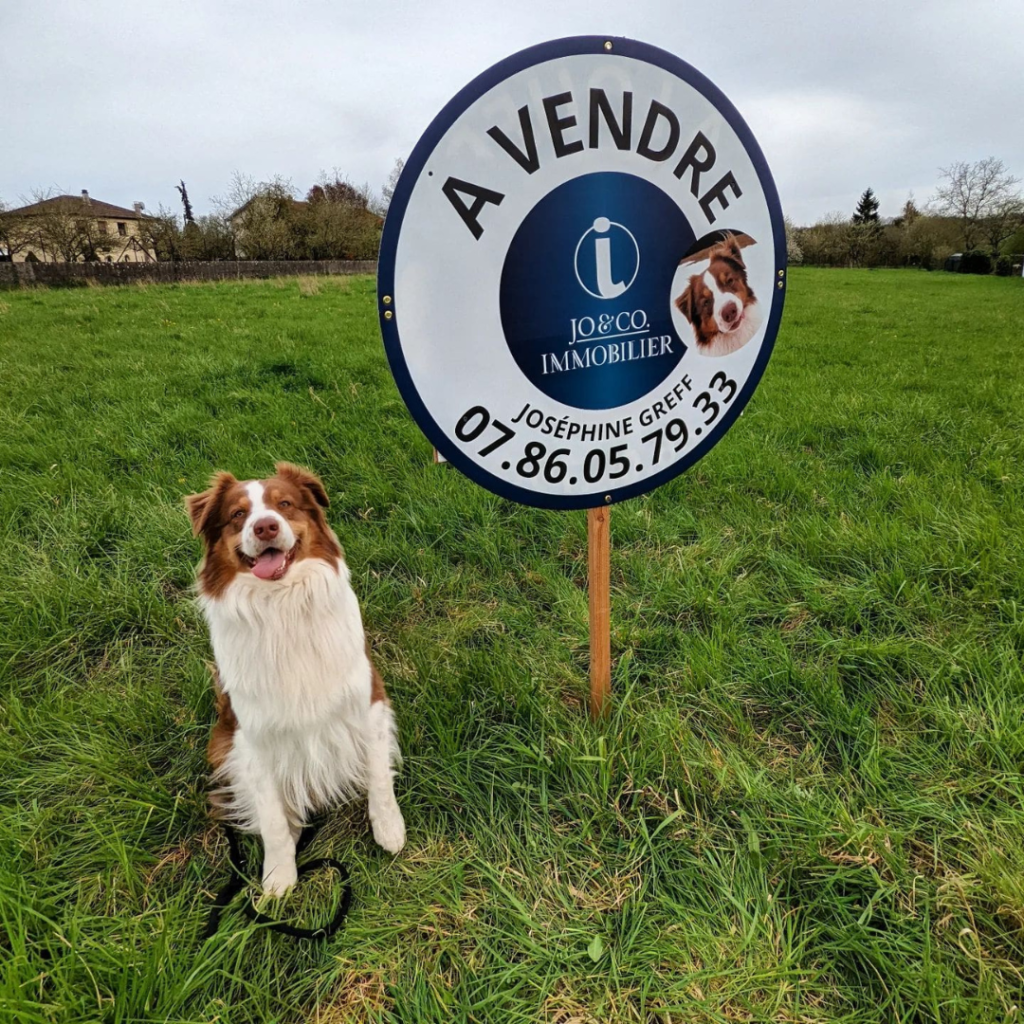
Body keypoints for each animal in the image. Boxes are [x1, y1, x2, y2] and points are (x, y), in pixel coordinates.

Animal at [188, 460, 403, 892]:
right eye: (238, 514)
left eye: (284, 504)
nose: (265, 527)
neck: (281, 604)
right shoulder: (250, 738)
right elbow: (271, 814)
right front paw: (278, 874)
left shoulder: (368, 700)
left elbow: (378, 775)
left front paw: (389, 828)